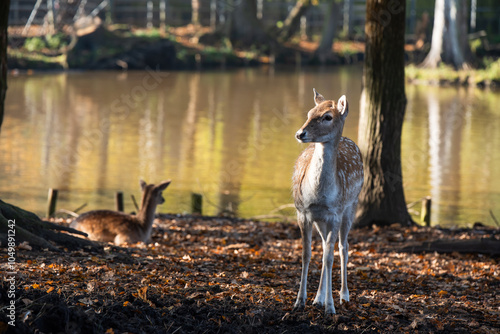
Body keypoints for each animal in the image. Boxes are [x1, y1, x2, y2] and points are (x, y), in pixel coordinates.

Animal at [292, 90, 364, 314]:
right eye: (309, 112)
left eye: (327, 117)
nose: (300, 133)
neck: (318, 196)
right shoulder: (303, 213)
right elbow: (307, 254)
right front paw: (300, 301)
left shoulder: (335, 213)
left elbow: (330, 257)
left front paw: (330, 308)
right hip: (321, 220)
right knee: (325, 246)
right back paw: (318, 299)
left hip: (351, 206)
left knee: (342, 247)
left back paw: (343, 295)